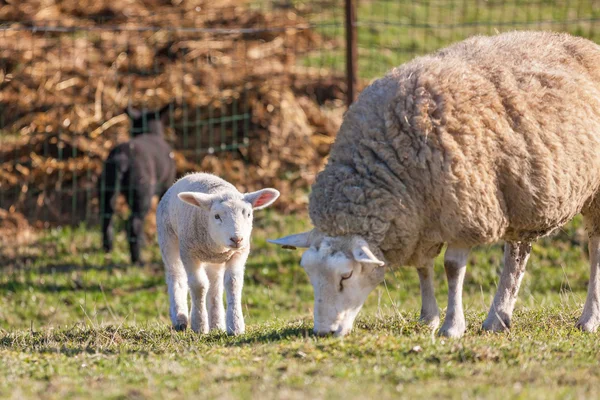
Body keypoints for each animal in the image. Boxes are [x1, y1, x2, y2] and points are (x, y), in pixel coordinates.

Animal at [98, 104, 177, 264]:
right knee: (134, 224)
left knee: (107, 218)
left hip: (107, 190)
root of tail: (122, 157)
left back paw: (108, 249)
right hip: (142, 193)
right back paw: (137, 259)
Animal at [156, 173, 280, 336]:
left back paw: (216, 324)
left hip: (214, 262)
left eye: (248, 214)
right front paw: (199, 325)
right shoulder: (189, 253)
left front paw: (235, 326)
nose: (237, 239)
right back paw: (179, 319)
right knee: (176, 276)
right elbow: (198, 285)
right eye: (216, 216)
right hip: (168, 238)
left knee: (215, 286)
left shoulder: (239, 253)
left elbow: (233, 282)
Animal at [270, 31, 600, 338]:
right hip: (520, 193)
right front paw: (428, 317)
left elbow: (451, 268)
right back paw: (498, 318)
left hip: (593, 195)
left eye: (346, 275)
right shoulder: (418, 218)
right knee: (517, 252)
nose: (323, 332)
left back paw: (588, 319)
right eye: (309, 274)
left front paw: (451, 326)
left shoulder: (465, 212)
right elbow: (422, 266)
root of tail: (583, 42)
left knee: (594, 248)